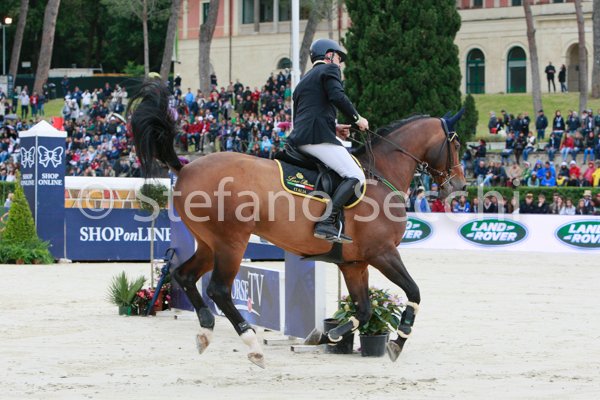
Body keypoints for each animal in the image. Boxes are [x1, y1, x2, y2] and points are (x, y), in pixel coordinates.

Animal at [129, 81, 467, 368]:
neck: (381, 175)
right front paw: (398, 340)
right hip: (231, 242)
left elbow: (364, 309)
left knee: (184, 276)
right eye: (456, 144)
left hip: (209, 244)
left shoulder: (354, 263)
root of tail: (185, 168)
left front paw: (330, 334)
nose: (460, 186)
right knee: (219, 290)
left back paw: (206, 330)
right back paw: (252, 345)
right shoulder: (382, 253)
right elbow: (414, 292)